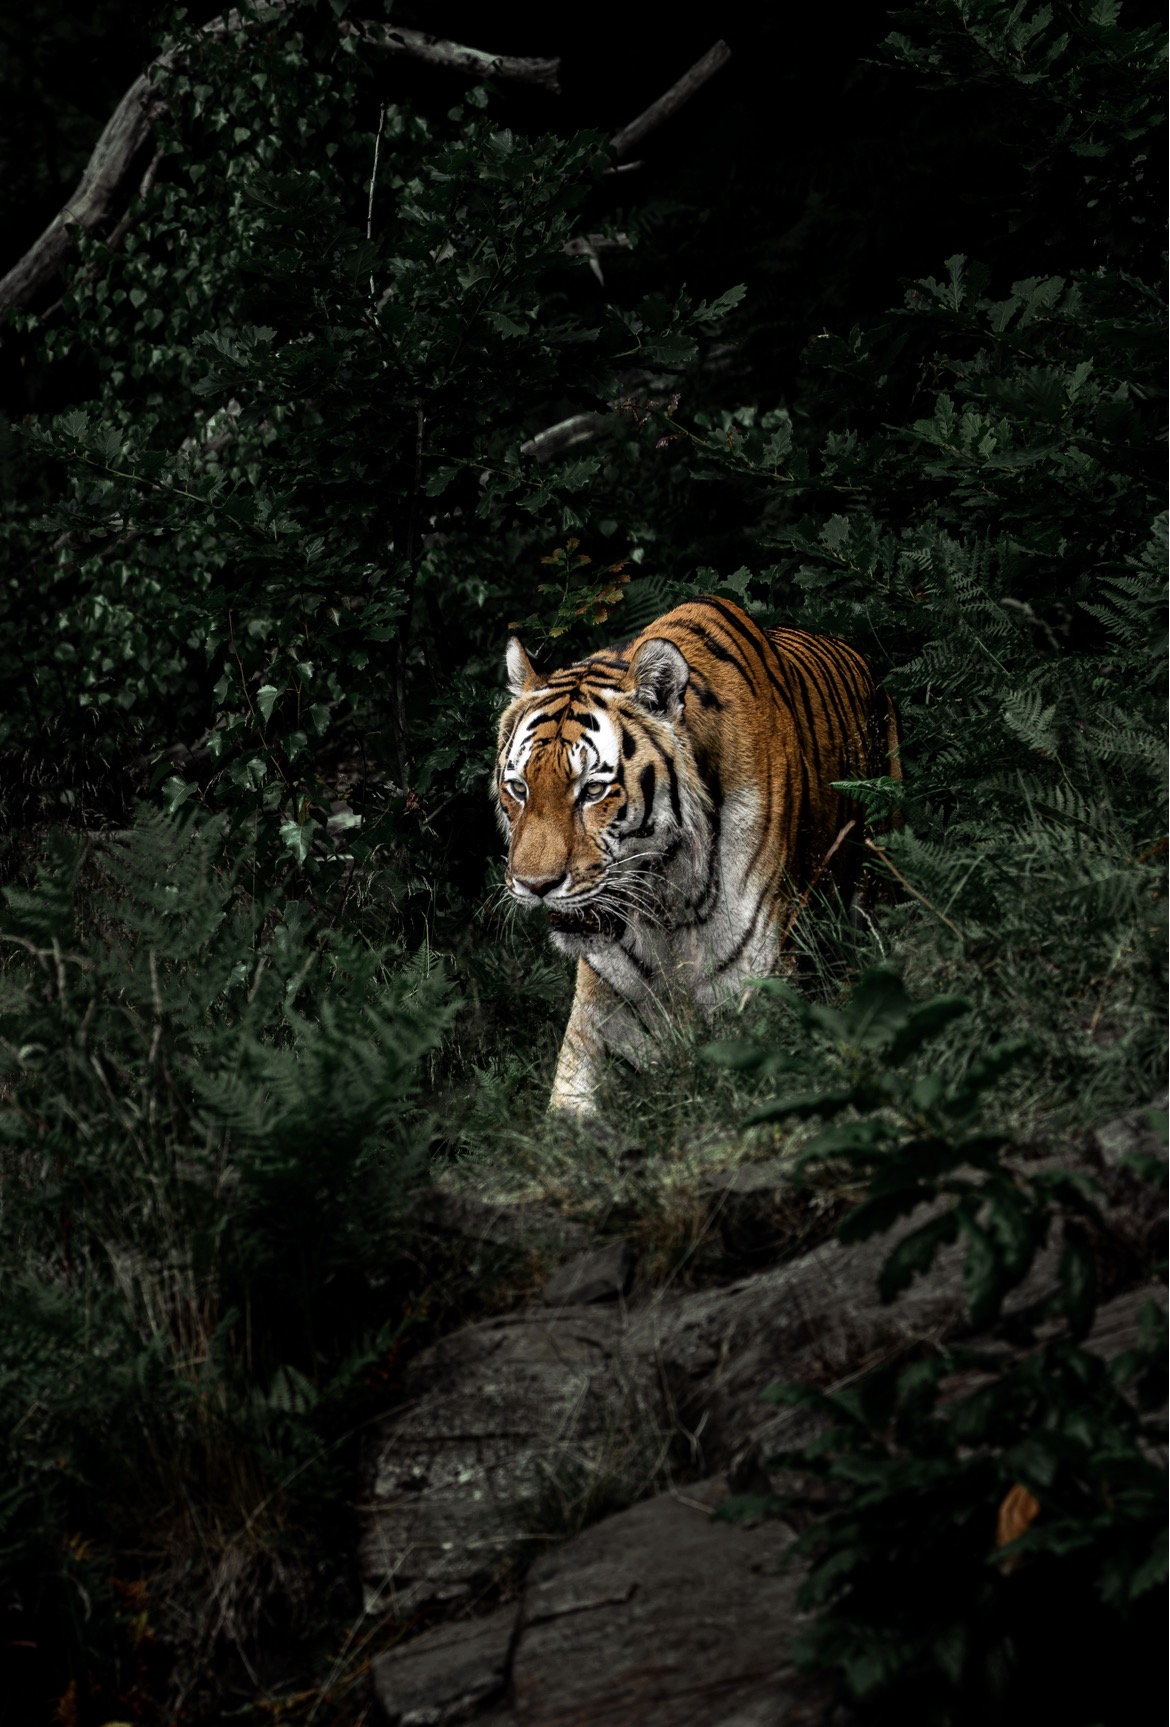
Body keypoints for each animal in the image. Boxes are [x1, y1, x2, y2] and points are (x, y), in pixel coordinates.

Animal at [494, 595, 901, 1113]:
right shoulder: (601, 1002)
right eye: (519, 789)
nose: (535, 886)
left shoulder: (762, 983)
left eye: (593, 791)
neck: (669, 900)